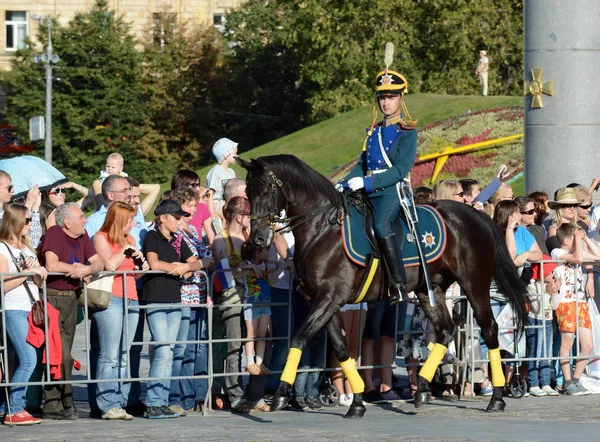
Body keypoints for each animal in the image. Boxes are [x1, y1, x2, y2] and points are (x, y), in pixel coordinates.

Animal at [237, 155, 528, 418]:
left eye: (266, 190)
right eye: (248, 193)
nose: (257, 239)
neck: (322, 229)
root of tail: (476, 214)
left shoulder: (330, 297)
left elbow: (300, 337)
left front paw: (281, 394)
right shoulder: (325, 300)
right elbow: (342, 349)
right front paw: (356, 402)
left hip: (474, 284)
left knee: (489, 329)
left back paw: (497, 398)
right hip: (429, 289)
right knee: (446, 330)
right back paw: (423, 388)